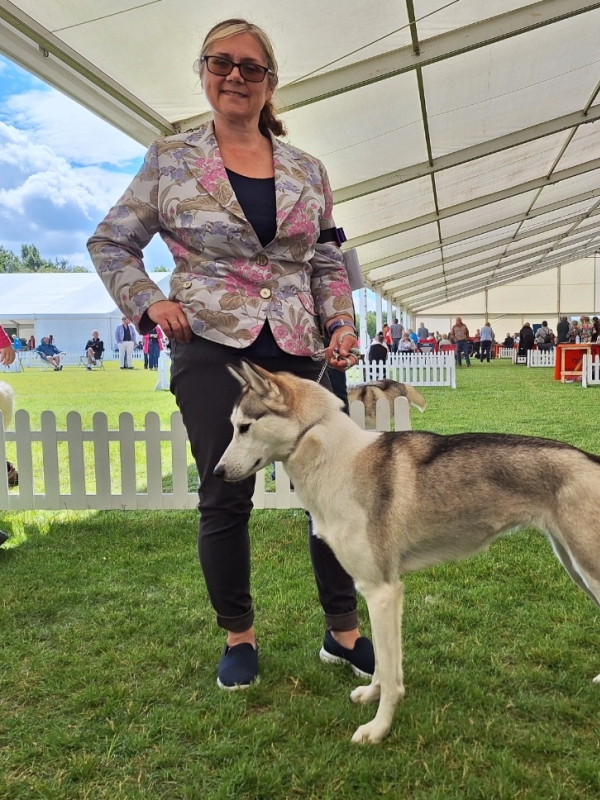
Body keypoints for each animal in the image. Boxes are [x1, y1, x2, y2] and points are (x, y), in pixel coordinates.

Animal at [216, 362, 600, 744]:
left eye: (244, 427)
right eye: (232, 426)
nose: (217, 473)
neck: (336, 458)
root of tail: (592, 460)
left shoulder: (382, 591)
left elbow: (389, 674)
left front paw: (378, 729)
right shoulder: (380, 594)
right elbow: (384, 667)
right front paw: (371, 695)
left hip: (587, 570)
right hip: (574, 567)